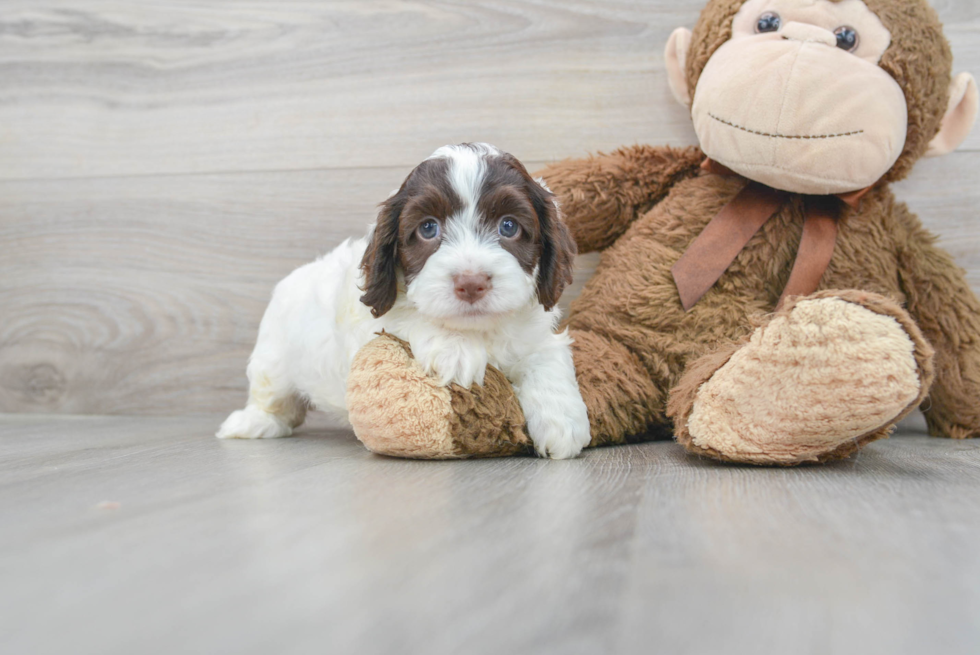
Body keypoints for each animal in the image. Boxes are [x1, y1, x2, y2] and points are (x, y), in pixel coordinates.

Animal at [217, 142, 588, 462]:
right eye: (428, 229)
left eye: (508, 226)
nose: (471, 283)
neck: (477, 329)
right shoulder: (372, 317)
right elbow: (408, 318)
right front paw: (455, 351)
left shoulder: (535, 331)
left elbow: (547, 357)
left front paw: (562, 422)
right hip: (273, 356)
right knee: (270, 395)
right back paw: (252, 422)